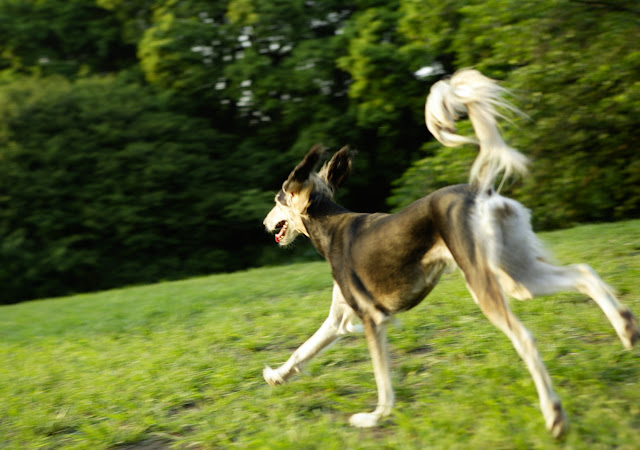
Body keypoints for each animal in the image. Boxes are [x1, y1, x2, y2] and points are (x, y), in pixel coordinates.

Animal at [260, 69, 636, 436]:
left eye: (277, 200)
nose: (264, 223)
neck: (331, 226)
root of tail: (480, 190)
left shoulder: (372, 318)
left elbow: (384, 384)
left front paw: (374, 417)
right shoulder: (340, 318)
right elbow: (303, 351)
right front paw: (277, 375)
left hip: (484, 280)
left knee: (526, 338)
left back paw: (554, 415)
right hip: (518, 275)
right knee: (583, 273)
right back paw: (627, 328)